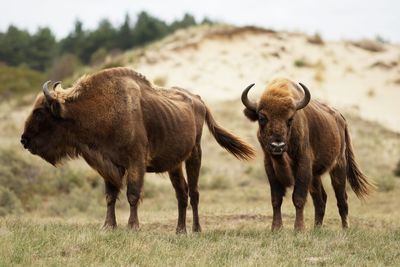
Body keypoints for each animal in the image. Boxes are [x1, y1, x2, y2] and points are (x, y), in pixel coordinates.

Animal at [21, 67, 253, 234]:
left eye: (40, 112)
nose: (24, 140)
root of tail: (198, 100)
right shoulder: (109, 165)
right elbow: (110, 196)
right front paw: (108, 226)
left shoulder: (135, 163)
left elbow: (132, 195)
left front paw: (132, 226)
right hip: (175, 165)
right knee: (182, 193)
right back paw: (180, 230)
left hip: (194, 154)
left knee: (194, 193)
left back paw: (196, 229)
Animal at [241, 78, 376, 231]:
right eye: (262, 118)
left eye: (290, 119)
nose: (277, 146)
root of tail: (341, 118)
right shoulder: (269, 165)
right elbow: (276, 199)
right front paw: (276, 228)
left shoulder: (303, 164)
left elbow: (298, 198)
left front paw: (299, 229)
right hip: (316, 176)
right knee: (321, 199)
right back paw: (317, 228)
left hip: (339, 166)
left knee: (342, 199)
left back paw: (345, 228)